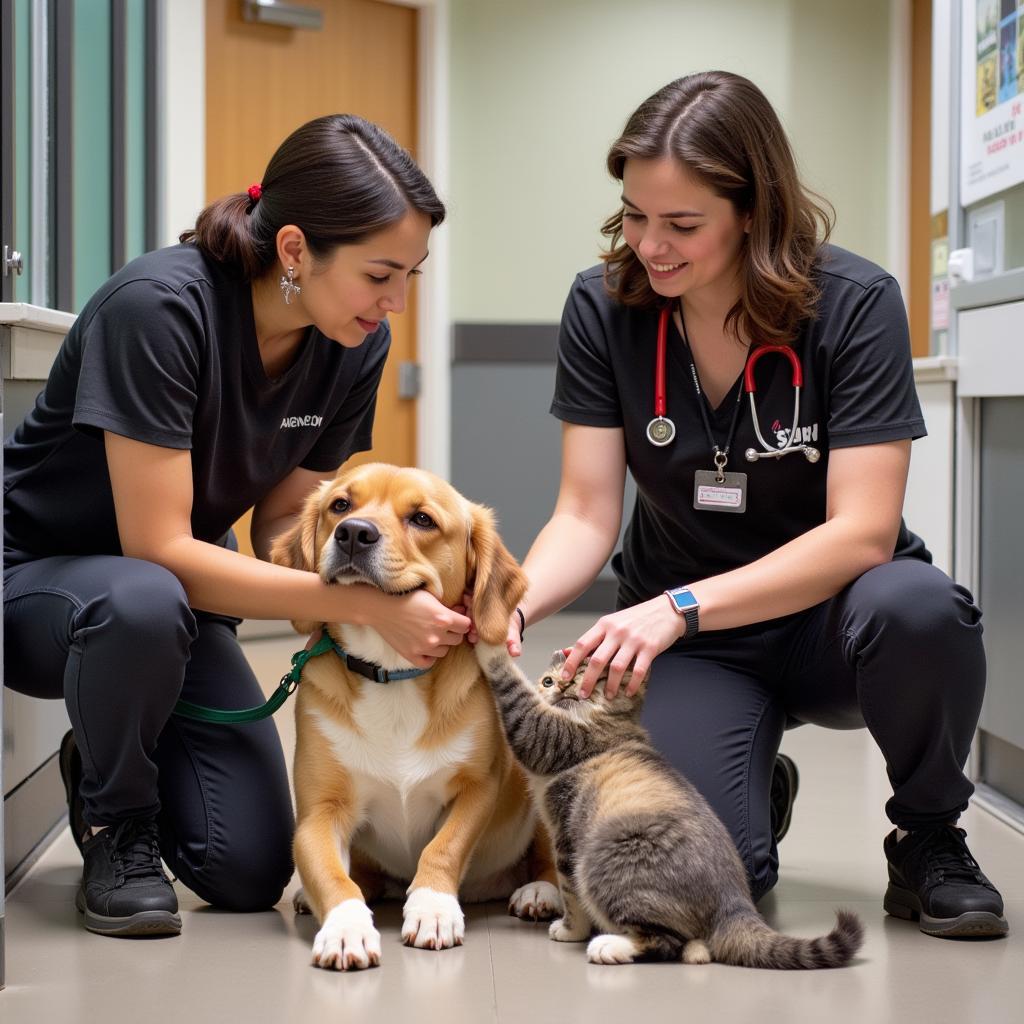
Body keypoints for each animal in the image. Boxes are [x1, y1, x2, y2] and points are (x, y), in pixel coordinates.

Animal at [270, 462, 561, 966]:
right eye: (340, 505)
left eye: (422, 519)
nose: (353, 533)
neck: (392, 672)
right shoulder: (318, 812)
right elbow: (331, 874)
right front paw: (345, 926)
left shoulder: (475, 790)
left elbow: (443, 849)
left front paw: (432, 908)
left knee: (546, 861)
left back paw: (540, 891)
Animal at [475, 647, 860, 966]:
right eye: (548, 680)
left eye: (588, 675)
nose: (562, 686)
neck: (609, 723)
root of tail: (734, 902)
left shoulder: (551, 750)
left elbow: (571, 894)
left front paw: (570, 931)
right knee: (692, 947)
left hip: (608, 860)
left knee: (667, 941)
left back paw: (610, 946)